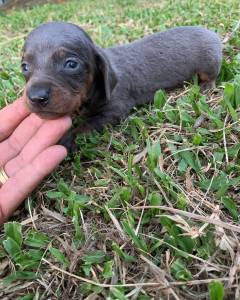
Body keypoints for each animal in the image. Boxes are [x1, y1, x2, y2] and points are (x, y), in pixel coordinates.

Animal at [21, 22, 222, 149]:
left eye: (71, 64)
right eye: (24, 66)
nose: (37, 97)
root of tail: (213, 34)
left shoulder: (114, 111)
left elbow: (87, 125)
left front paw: (69, 137)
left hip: (209, 62)